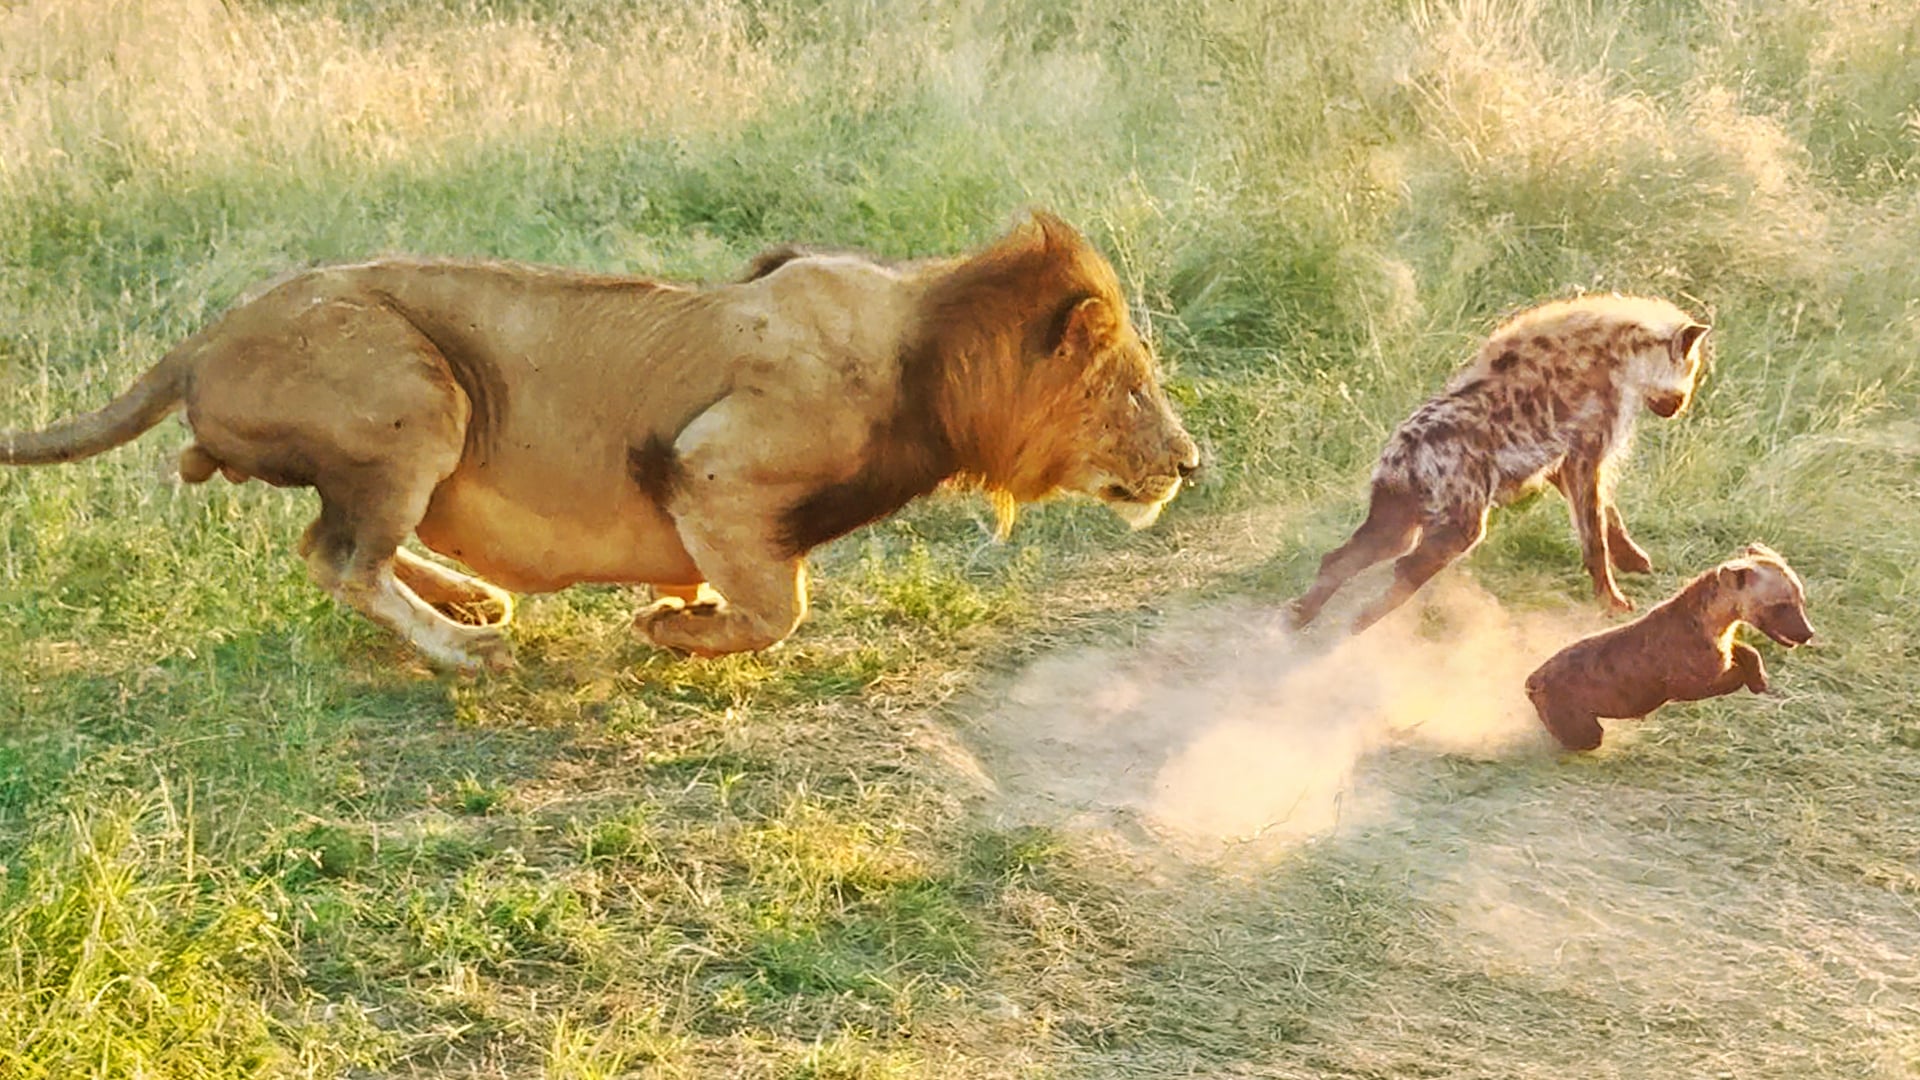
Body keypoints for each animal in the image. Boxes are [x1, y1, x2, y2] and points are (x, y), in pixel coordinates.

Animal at [0, 211, 1200, 671]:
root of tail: (209, 333)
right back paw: (466, 648)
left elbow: (759, 594)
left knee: (327, 548)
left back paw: (469, 600)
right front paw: (675, 630)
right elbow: (783, 607)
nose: (1191, 464)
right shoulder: (709, 461)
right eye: (1137, 389)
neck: (931, 351)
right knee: (342, 559)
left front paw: (677, 608)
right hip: (418, 394)